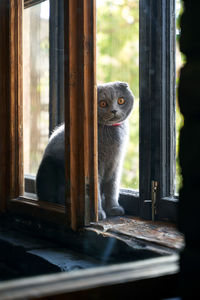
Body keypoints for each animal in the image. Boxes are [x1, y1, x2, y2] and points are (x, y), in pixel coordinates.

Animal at [35, 81, 134, 219]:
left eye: (121, 100)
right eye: (102, 103)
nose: (114, 110)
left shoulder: (116, 164)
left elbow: (112, 188)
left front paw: (113, 208)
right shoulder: (95, 165)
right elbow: (95, 190)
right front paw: (98, 214)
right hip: (49, 166)